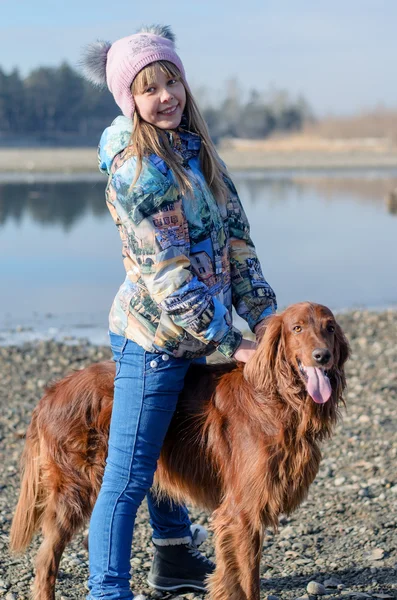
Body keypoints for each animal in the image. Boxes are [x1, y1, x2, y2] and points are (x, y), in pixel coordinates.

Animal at [10, 302, 350, 600]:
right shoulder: (242, 512)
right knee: (46, 558)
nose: (322, 356)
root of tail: (51, 393)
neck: (278, 398)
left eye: (330, 327)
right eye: (297, 328)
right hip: (75, 487)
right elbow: (248, 581)